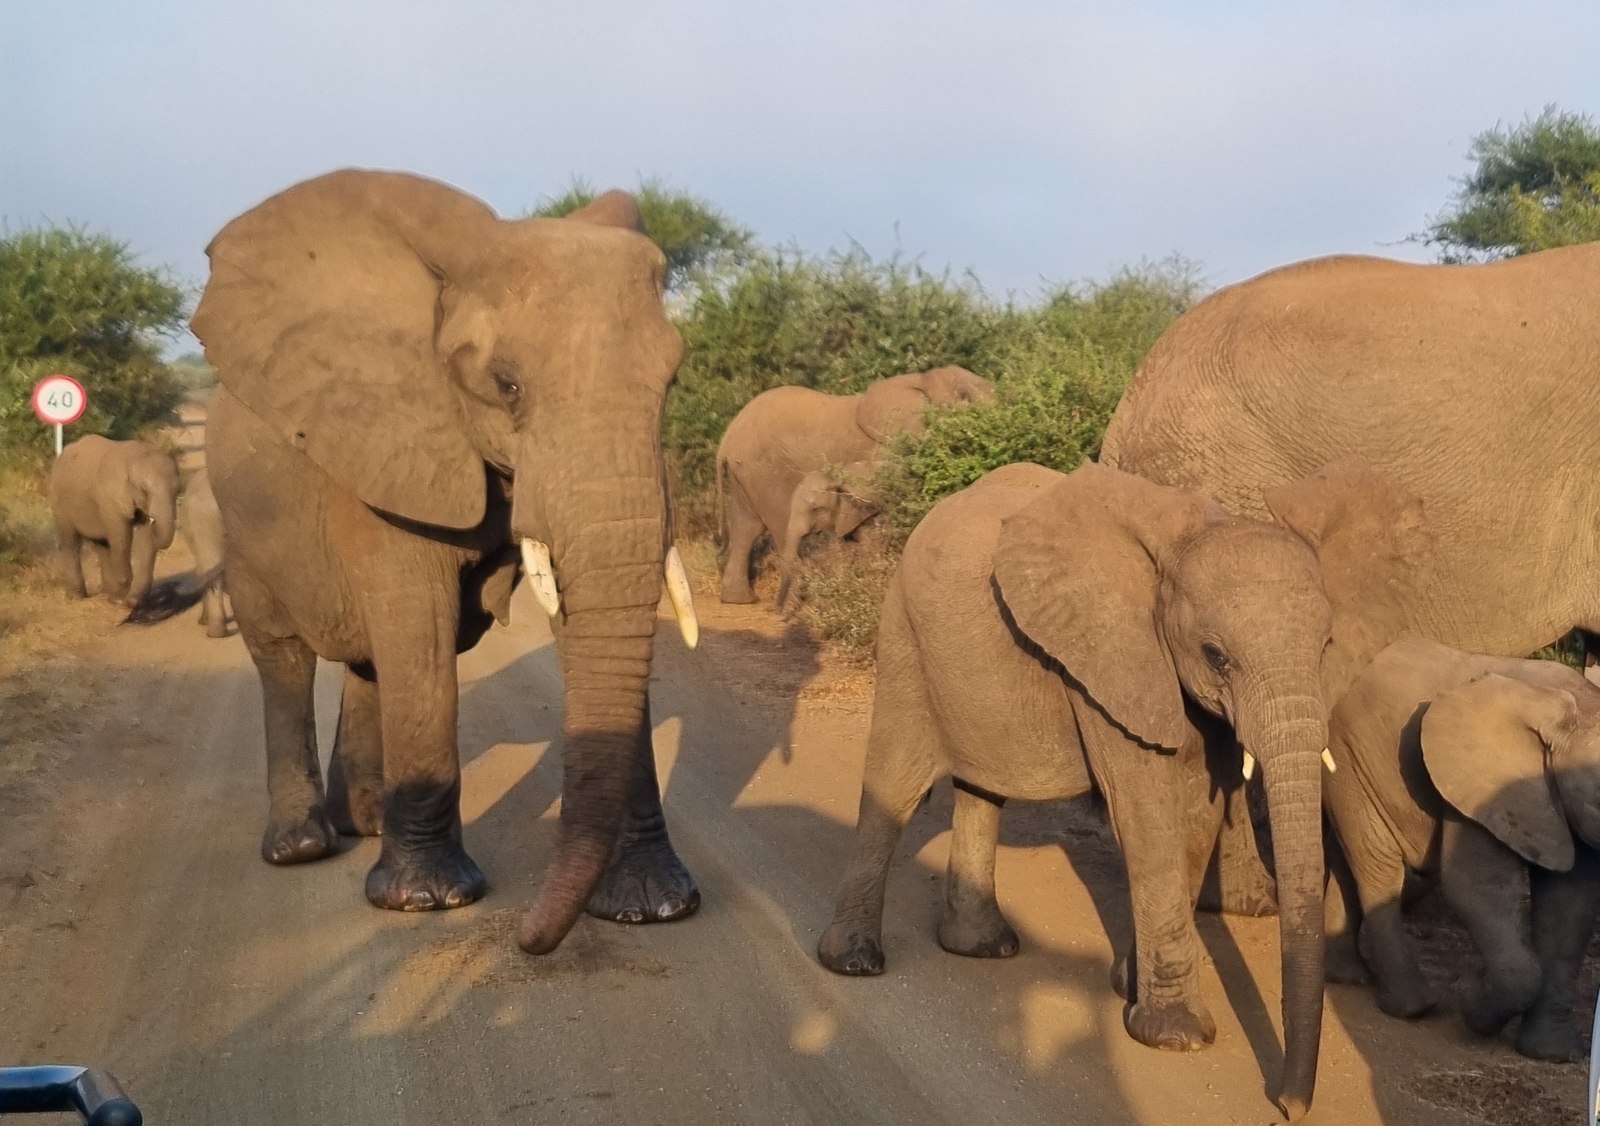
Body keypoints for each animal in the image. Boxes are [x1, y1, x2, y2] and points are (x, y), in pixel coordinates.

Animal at [49, 435, 179, 607]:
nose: (154, 520)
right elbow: (121, 537)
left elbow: (143, 537)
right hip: (59, 501)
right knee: (70, 541)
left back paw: (106, 593)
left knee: (101, 544)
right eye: (144, 490)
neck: (133, 458)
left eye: (177, 491)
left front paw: (133, 602)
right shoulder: (110, 497)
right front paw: (119, 601)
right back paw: (77, 597)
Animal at [190, 169, 700, 956]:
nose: (527, 937)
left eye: (671, 383)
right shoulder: (387, 443)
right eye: (506, 385)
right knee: (286, 659)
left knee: (370, 661)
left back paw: (366, 823)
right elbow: (419, 625)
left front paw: (653, 907)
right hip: (242, 526)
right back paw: (304, 846)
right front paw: (427, 900)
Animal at [817, 458, 1430, 1121]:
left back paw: (982, 948)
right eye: (1215, 656)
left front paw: (1129, 987)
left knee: (982, 790)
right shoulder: (1108, 663)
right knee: (896, 784)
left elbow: (1195, 814)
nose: (1289, 1106)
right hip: (905, 635)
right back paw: (853, 962)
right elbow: (1146, 808)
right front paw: (1177, 1036)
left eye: (1325, 648)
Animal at [1321, 636, 1600, 1061]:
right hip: (1349, 756)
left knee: (1347, 859)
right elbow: (1475, 886)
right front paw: (1471, 997)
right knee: (1377, 864)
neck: (1579, 705)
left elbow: (1570, 907)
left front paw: (1552, 1055)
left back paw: (1346, 976)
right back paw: (1414, 1008)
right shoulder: (1477, 786)